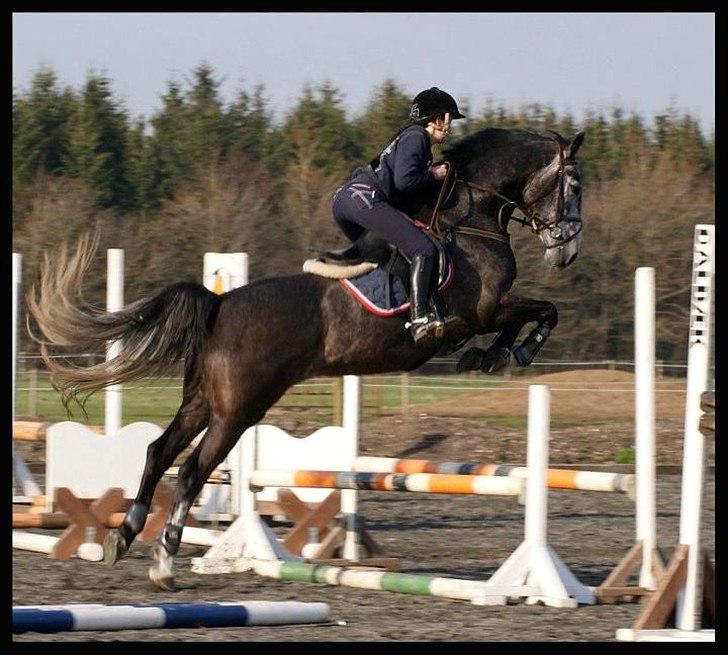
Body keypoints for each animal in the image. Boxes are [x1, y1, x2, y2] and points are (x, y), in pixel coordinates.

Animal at [28, 127, 584, 588]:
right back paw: (164, 563)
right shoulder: (483, 309)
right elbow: (542, 311)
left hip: (203, 401)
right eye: (574, 185)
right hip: (239, 409)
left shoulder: (488, 311)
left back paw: (123, 536)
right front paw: (511, 351)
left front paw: (491, 356)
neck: (471, 221)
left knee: (158, 452)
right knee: (190, 471)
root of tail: (221, 303)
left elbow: (533, 313)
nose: (567, 252)